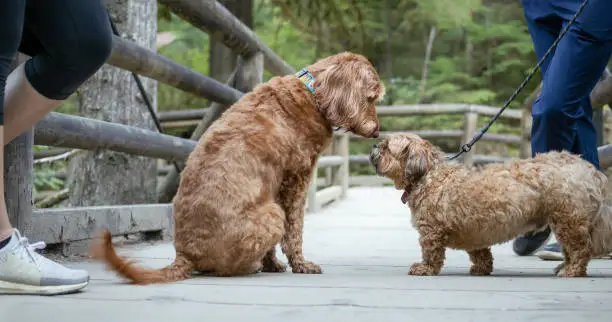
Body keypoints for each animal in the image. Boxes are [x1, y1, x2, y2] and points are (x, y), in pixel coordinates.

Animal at [93, 51, 384, 284]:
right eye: (371, 98)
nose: (377, 131)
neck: (313, 94)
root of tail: (186, 254)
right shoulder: (295, 181)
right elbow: (294, 232)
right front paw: (301, 265)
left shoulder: (274, 187)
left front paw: (273, 264)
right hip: (272, 213)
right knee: (229, 268)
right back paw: (251, 267)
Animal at [370, 133, 612, 276]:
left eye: (386, 147)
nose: (373, 146)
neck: (429, 174)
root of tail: (589, 169)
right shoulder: (473, 230)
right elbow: (480, 253)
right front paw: (481, 268)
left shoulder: (431, 231)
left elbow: (431, 253)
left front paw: (425, 268)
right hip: (567, 221)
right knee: (573, 249)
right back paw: (564, 266)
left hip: (567, 220)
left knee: (580, 250)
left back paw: (571, 270)